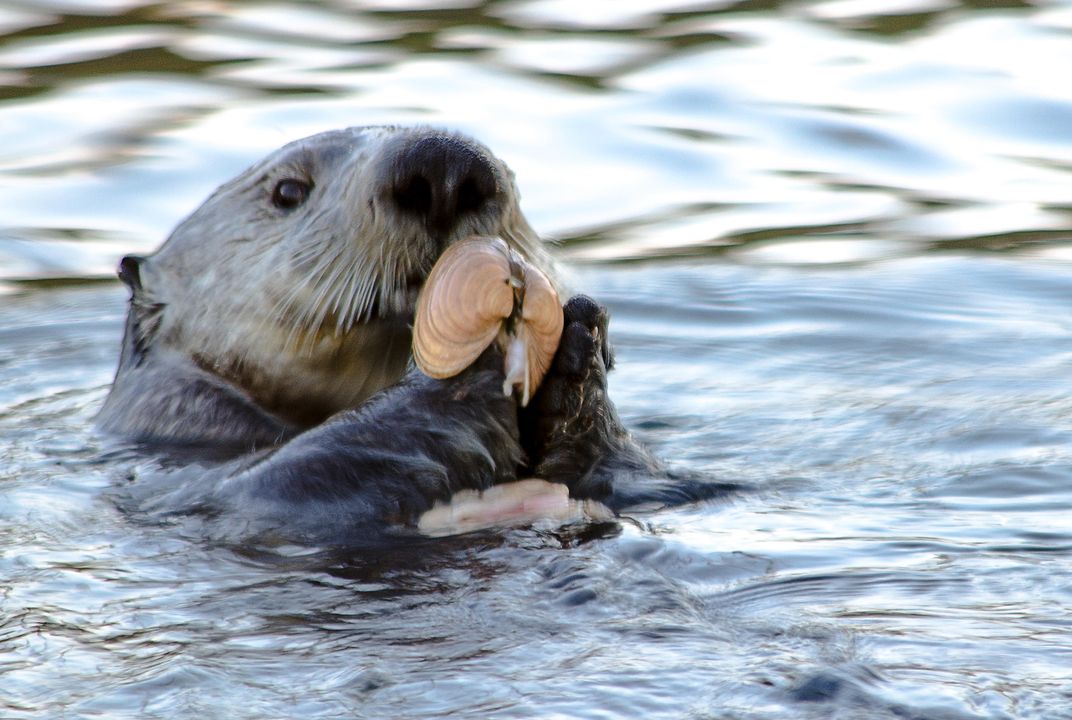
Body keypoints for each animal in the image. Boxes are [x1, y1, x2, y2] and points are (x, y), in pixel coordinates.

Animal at [102, 126, 728, 545]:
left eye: (513, 177)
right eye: (287, 192)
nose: (444, 167)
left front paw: (579, 345)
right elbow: (276, 482)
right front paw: (468, 364)